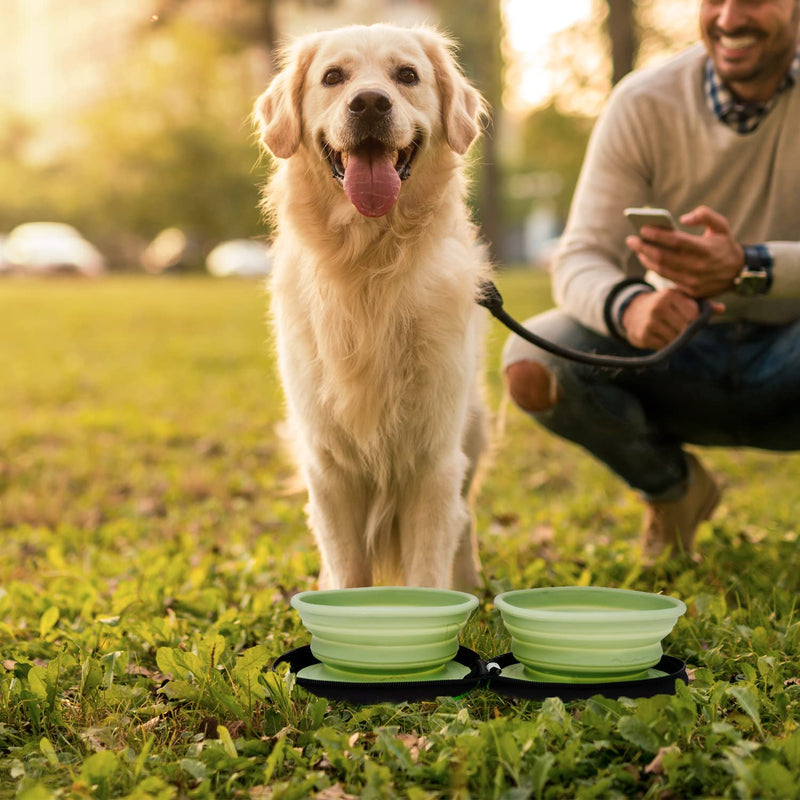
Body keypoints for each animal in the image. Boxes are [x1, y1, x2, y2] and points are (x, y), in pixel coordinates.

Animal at [256, 23, 490, 588]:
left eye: (406, 75)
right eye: (332, 77)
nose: (368, 103)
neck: (368, 268)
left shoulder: (434, 458)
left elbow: (430, 569)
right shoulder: (328, 465)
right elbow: (347, 574)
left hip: (472, 432)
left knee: (465, 518)